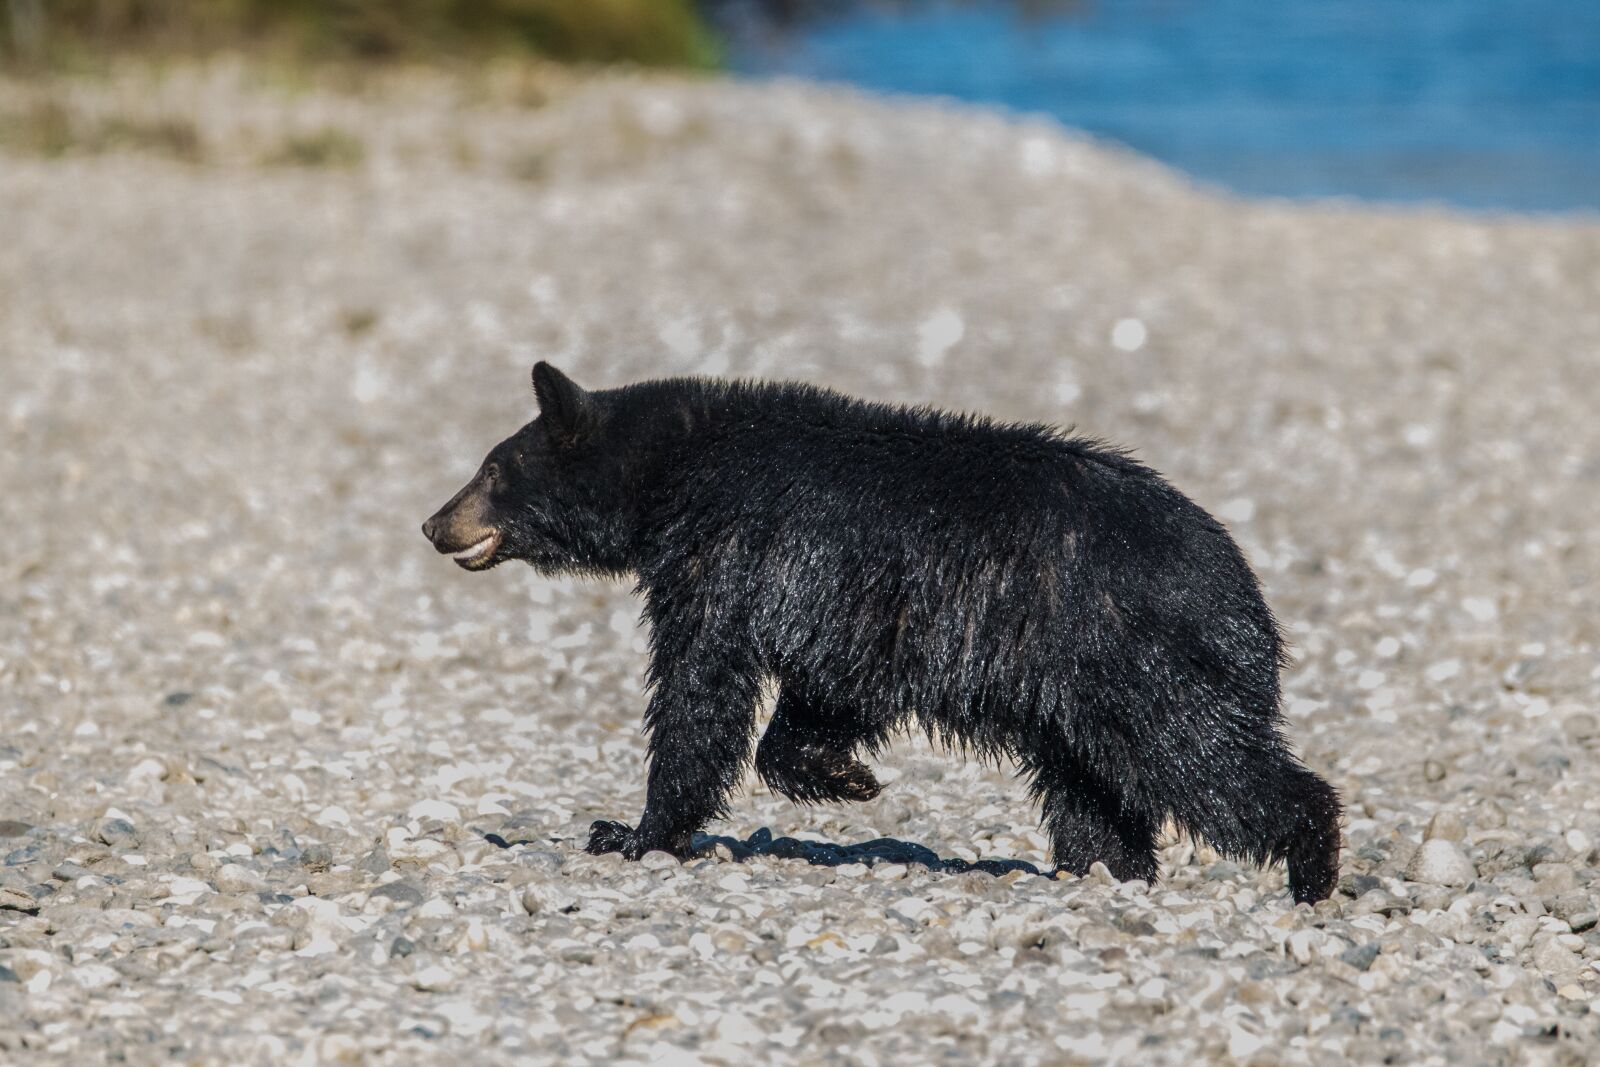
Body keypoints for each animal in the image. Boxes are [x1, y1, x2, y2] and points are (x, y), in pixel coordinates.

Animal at [422, 362, 1342, 903]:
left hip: (1141, 658)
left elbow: (701, 691)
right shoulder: (842, 603)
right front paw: (846, 774)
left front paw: (633, 831)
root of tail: (1246, 593)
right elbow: (827, 693)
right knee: (1091, 786)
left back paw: (1313, 863)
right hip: (1075, 698)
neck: (677, 470)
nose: (434, 522)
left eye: (493, 468)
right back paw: (1106, 867)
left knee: (1204, 760)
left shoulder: (730, 553)